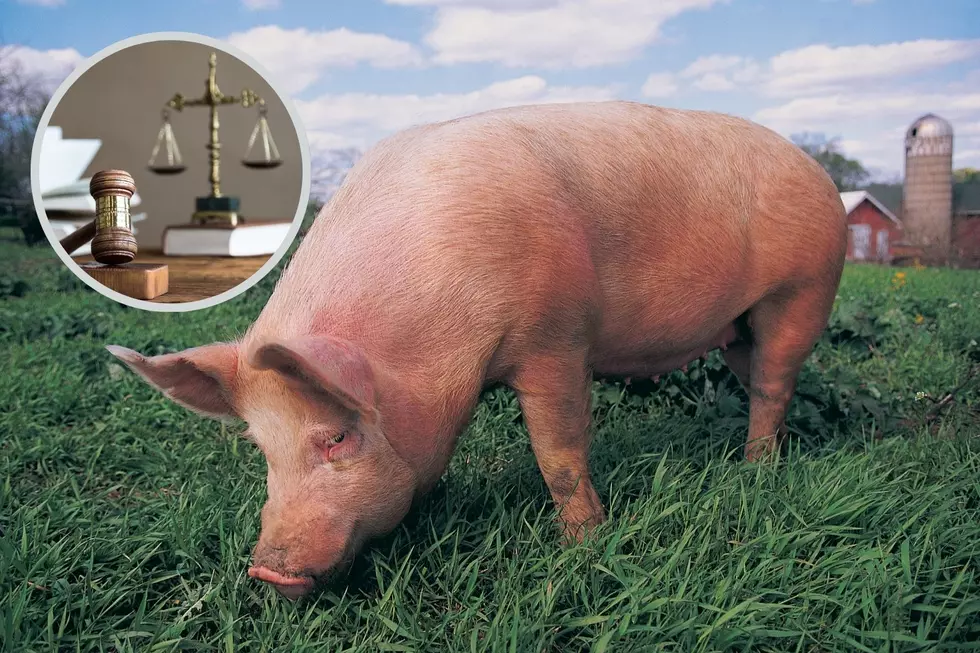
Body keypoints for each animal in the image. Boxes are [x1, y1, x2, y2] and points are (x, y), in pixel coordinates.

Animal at [108, 100, 847, 600]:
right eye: (262, 448)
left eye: (338, 436)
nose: (266, 570)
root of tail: (817, 169)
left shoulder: (555, 339)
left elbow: (559, 454)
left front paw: (584, 545)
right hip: (740, 327)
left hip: (802, 290)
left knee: (774, 383)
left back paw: (756, 471)